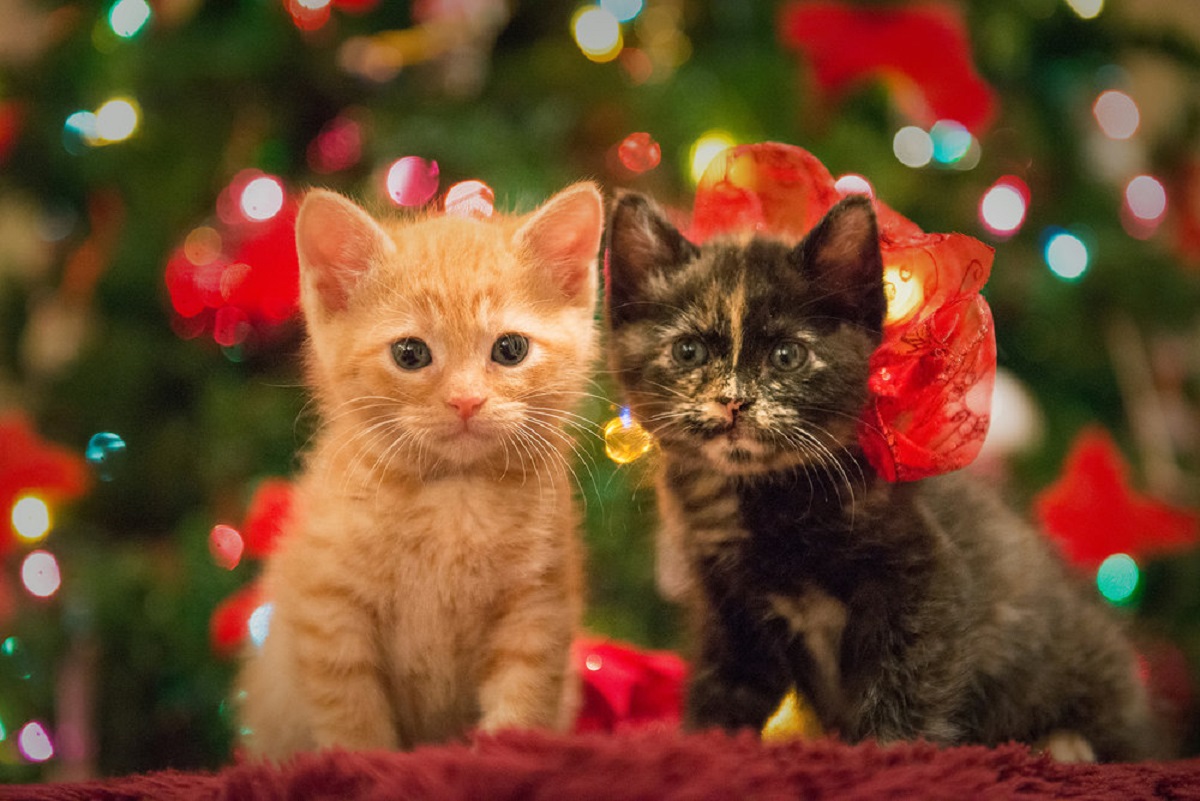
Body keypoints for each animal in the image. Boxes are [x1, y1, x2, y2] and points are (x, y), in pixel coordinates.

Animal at [235, 179, 604, 757]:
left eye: (511, 349)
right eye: (410, 354)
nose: (466, 400)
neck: (453, 498)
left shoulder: (537, 607)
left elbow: (522, 702)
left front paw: (507, 755)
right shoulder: (329, 614)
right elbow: (353, 720)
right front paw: (363, 765)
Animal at [609, 190, 1161, 762]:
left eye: (787, 356)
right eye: (688, 351)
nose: (732, 400)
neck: (765, 496)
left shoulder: (926, 578)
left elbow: (908, 683)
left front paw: (892, 754)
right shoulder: (731, 608)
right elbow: (722, 688)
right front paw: (700, 748)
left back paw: (1065, 744)